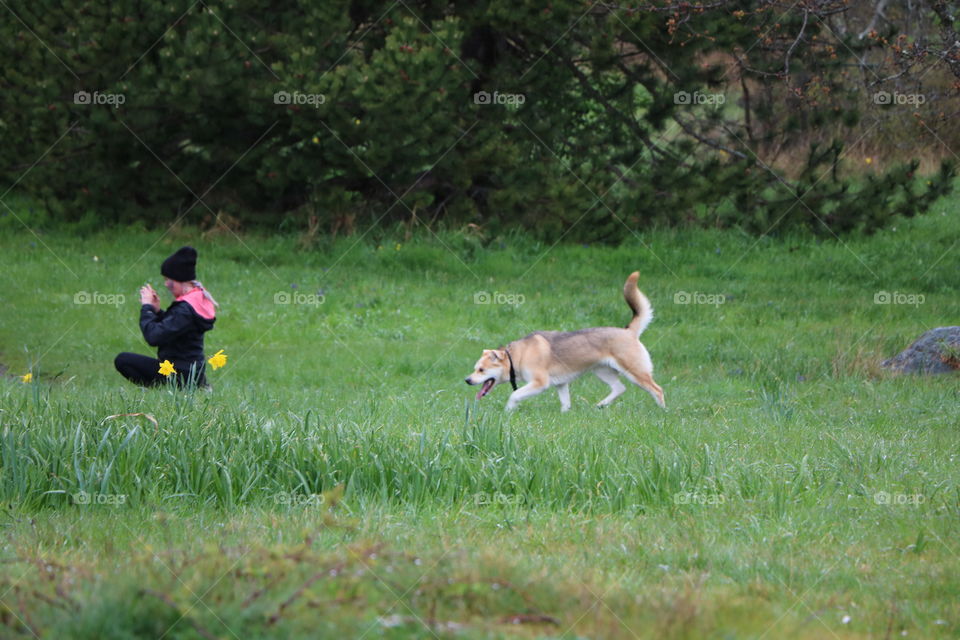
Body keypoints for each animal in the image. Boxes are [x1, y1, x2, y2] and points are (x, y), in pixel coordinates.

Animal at [466, 272, 668, 412]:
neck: (517, 356)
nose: (467, 380)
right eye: (475, 369)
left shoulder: (540, 383)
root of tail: (628, 331)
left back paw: (662, 411)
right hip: (602, 371)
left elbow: (514, 394)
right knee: (620, 388)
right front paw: (565, 414)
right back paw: (600, 405)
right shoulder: (561, 385)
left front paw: (508, 411)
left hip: (634, 372)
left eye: (481, 370)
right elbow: (565, 403)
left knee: (657, 389)